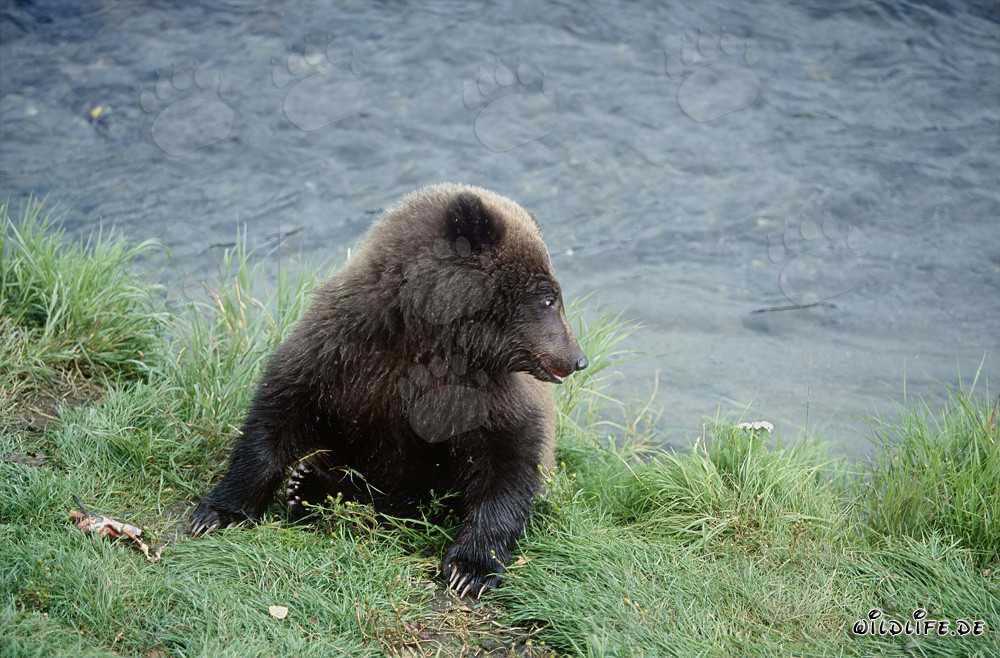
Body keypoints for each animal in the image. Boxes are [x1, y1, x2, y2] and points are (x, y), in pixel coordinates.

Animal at [189, 183, 588, 597]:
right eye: (548, 296)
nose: (579, 359)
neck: (426, 338)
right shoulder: (340, 354)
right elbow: (277, 416)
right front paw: (217, 512)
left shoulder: (482, 396)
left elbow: (509, 463)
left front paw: (470, 569)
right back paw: (307, 486)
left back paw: (312, 487)